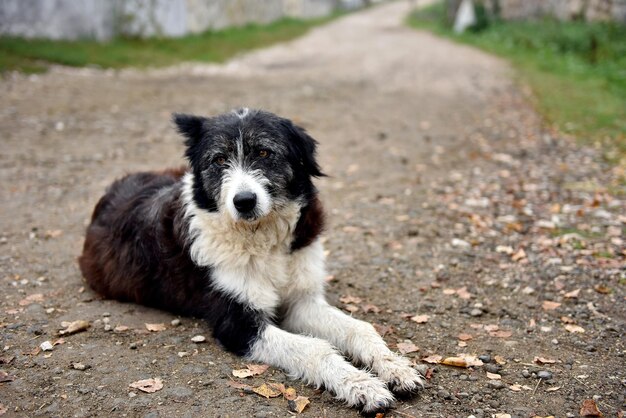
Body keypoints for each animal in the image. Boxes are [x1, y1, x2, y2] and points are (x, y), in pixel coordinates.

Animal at [77, 108, 420, 412]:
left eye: (265, 153)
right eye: (218, 160)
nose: (244, 201)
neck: (261, 237)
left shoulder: (301, 302)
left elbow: (359, 328)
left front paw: (396, 367)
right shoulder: (238, 324)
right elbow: (315, 348)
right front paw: (361, 386)